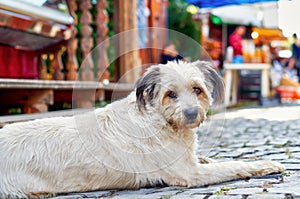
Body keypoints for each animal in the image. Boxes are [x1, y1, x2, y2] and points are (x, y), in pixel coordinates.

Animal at [0, 60, 284, 197]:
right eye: (170, 94)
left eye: (197, 89)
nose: (192, 114)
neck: (160, 120)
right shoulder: (189, 175)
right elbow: (232, 166)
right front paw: (266, 164)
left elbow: (212, 159)